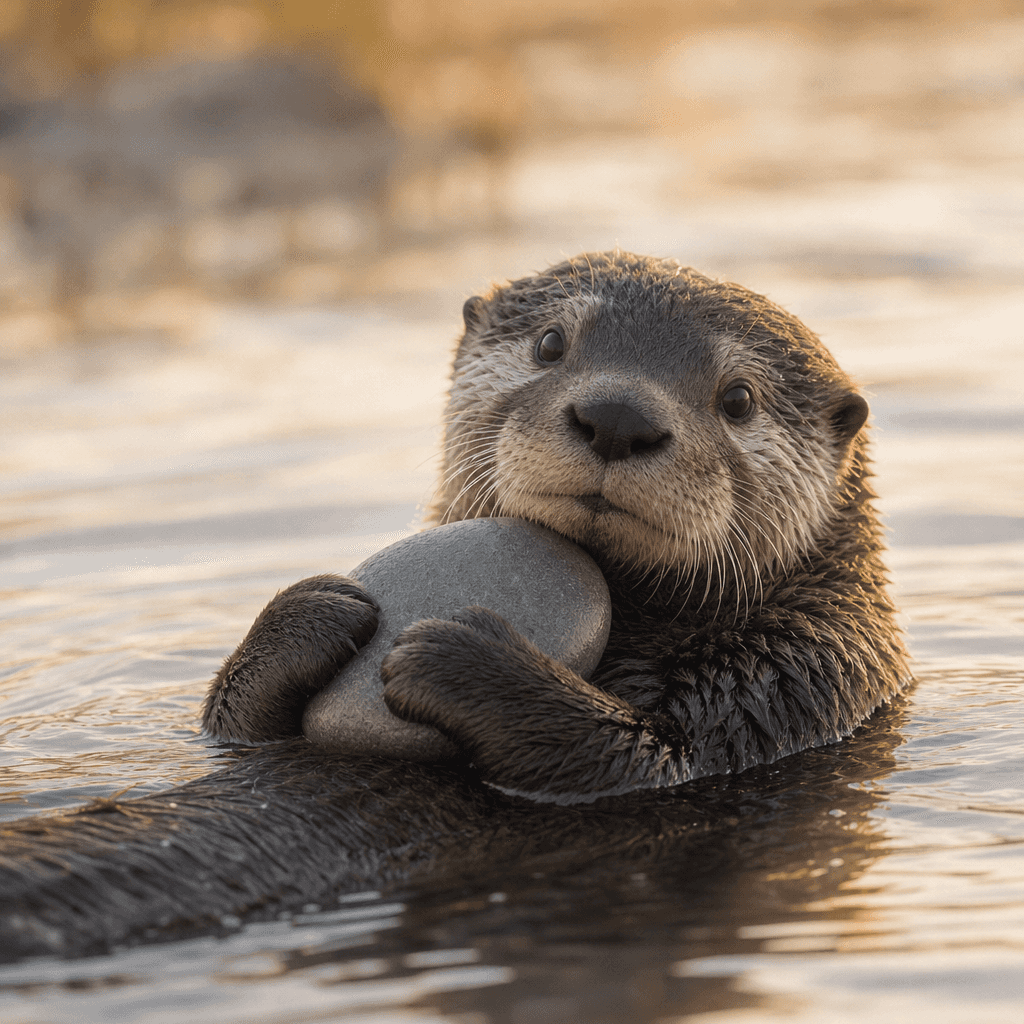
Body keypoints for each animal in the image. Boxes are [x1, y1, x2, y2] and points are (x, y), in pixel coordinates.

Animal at [0, 252, 910, 959]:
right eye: (551, 344)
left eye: (739, 399)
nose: (618, 415)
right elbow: (236, 728)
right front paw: (310, 609)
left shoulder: (790, 681)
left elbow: (639, 760)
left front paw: (456, 654)